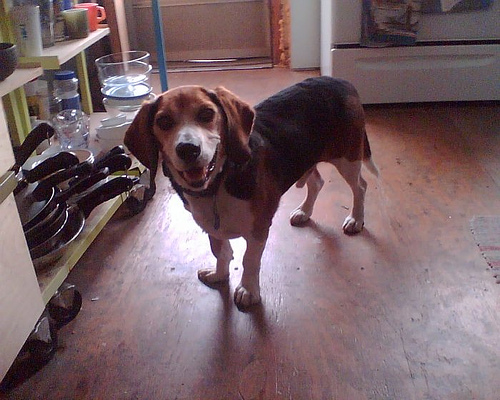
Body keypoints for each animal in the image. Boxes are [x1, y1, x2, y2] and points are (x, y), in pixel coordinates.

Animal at [124, 76, 378, 308]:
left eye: (206, 114)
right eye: (164, 121)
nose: (188, 149)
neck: (218, 184)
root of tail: (339, 80)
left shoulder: (258, 230)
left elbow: (249, 260)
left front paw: (248, 290)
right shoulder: (211, 227)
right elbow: (220, 252)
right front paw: (219, 275)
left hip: (347, 158)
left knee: (360, 187)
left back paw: (356, 219)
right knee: (317, 182)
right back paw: (304, 212)